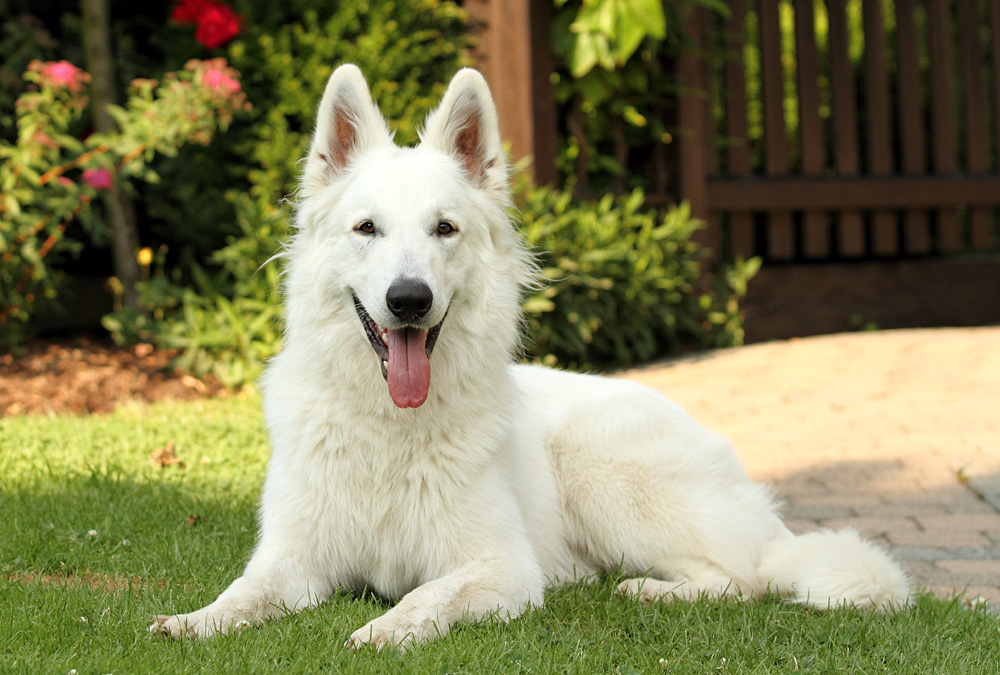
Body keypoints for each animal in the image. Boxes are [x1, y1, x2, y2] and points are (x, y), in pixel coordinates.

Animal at [151, 65, 910, 650]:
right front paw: (192, 621)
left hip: (606, 477)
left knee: (746, 576)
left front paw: (385, 630)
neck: (390, 425)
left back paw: (651, 589)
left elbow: (426, 597)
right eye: (366, 228)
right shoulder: (292, 559)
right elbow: (243, 593)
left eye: (444, 228)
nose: (408, 299)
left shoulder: (500, 567)